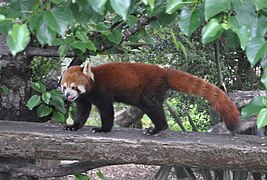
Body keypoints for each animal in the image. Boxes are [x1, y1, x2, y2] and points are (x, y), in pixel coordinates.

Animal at [61, 60, 242, 135]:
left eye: (74, 87)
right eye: (64, 87)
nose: (68, 95)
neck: (92, 83)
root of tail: (164, 72)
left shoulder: (103, 92)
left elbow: (107, 111)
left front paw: (103, 129)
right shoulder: (84, 98)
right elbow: (83, 111)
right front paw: (74, 126)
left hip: (148, 90)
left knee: (152, 107)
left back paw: (157, 129)